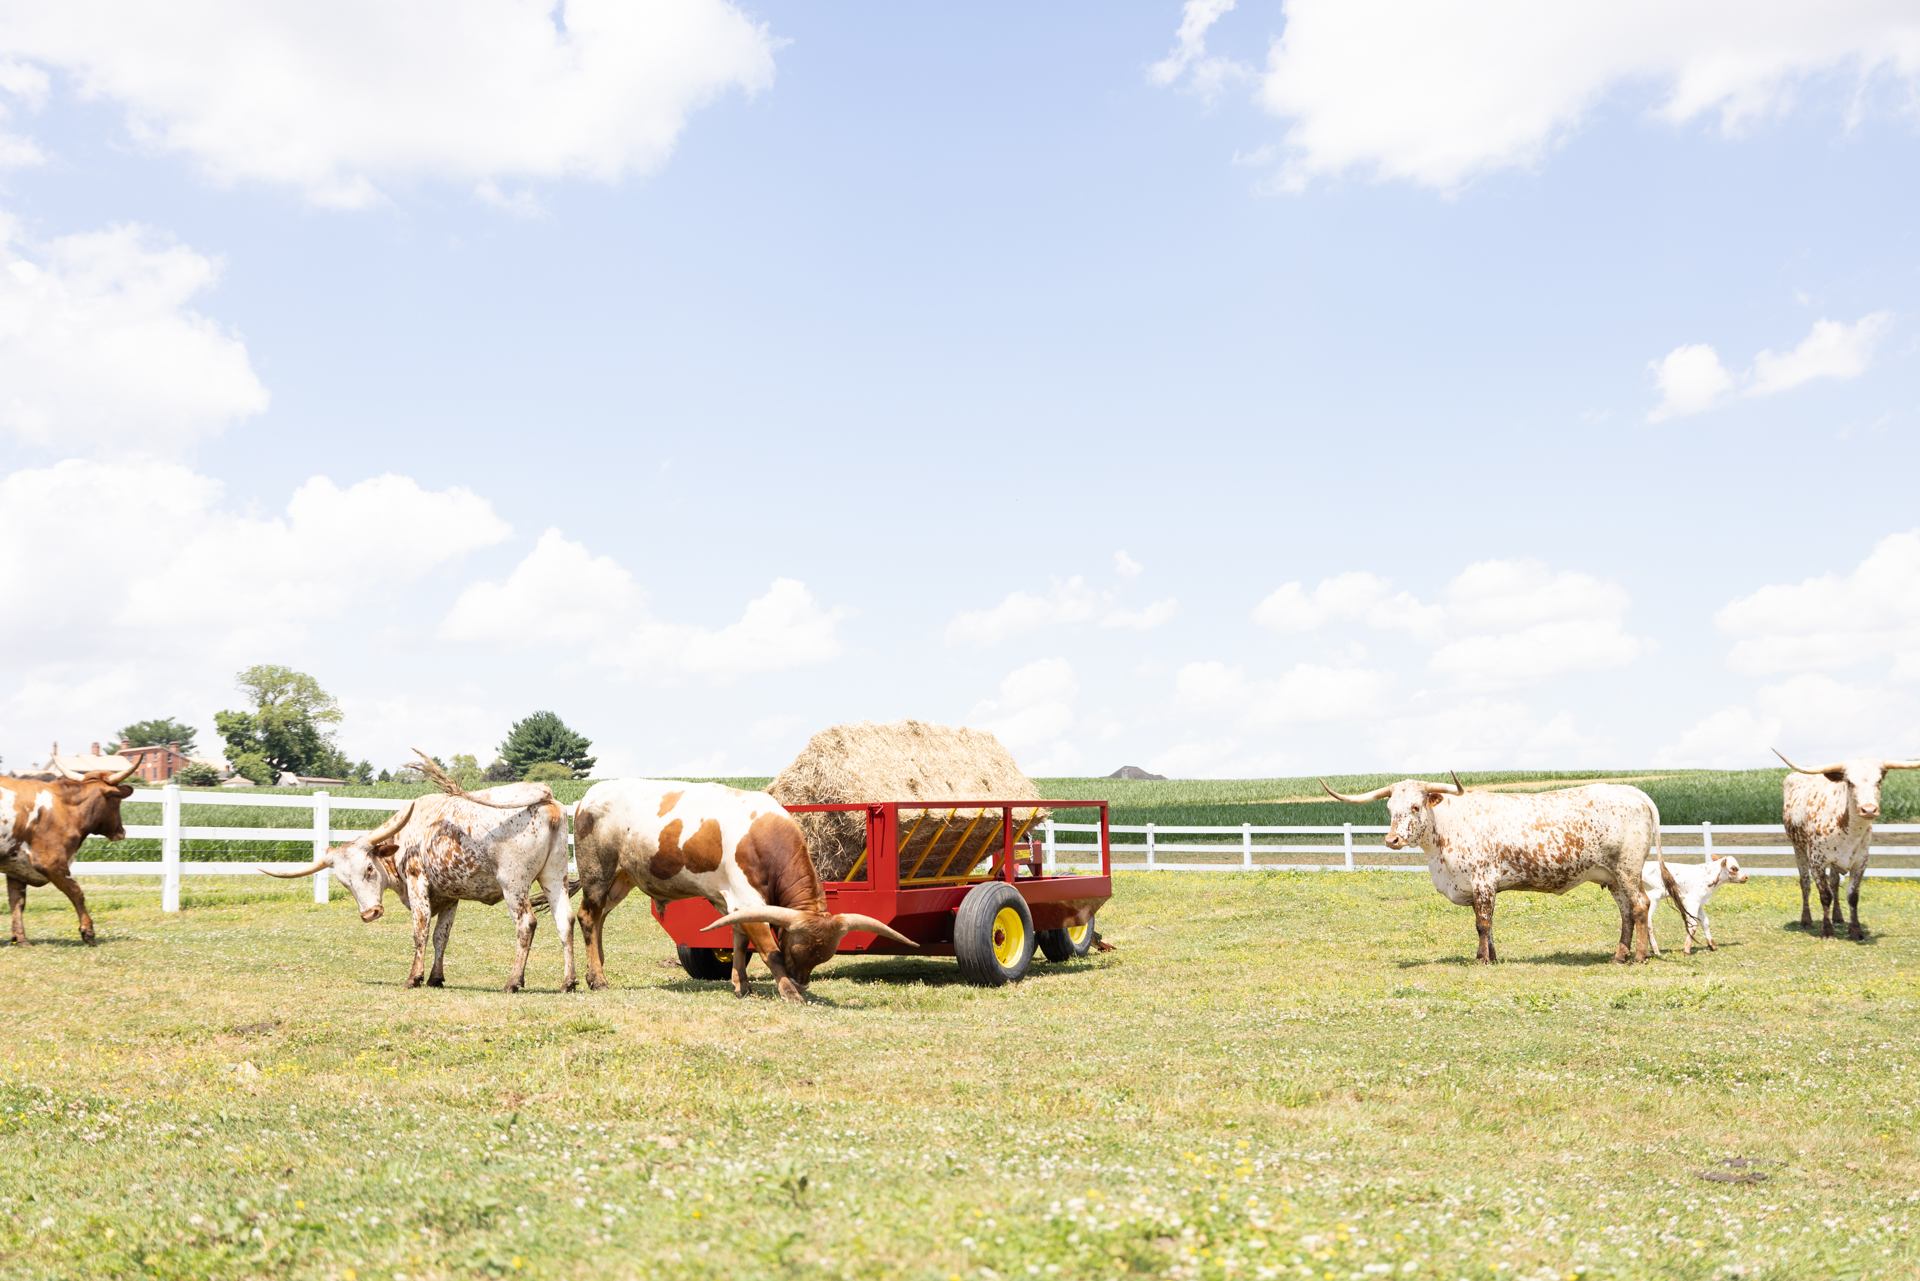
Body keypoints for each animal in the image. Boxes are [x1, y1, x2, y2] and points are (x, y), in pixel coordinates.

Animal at [266, 768, 572, 998]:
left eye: (369, 868)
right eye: (344, 882)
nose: (370, 913)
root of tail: (544, 795)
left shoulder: (417, 882)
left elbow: (420, 930)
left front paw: (414, 977)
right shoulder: (450, 895)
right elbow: (441, 936)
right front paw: (436, 977)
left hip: (513, 882)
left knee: (526, 924)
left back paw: (513, 982)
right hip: (555, 876)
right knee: (565, 920)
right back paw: (569, 982)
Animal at [568, 775, 913, 1006]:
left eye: (821, 958)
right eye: (794, 949)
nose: (801, 984)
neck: (765, 839)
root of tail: (589, 795)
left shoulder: (736, 904)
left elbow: (739, 940)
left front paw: (742, 985)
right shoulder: (747, 900)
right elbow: (768, 951)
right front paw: (788, 992)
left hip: (620, 879)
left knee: (599, 920)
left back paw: (594, 971)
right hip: (597, 872)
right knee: (587, 917)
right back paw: (598, 978)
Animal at [1320, 775, 1681, 967]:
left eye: (1415, 806)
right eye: (1389, 807)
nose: (1392, 839)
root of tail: (1633, 791)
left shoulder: (1482, 880)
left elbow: (1482, 923)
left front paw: (1481, 959)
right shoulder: (1481, 887)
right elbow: (1488, 925)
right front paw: (1492, 956)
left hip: (1627, 868)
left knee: (1640, 906)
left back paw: (1639, 957)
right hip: (1612, 876)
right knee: (1626, 912)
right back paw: (1619, 956)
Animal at [1766, 752, 1920, 941]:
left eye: (1879, 781)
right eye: (1850, 782)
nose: (1869, 809)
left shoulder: (1860, 862)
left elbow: (1852, 896)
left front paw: (1856, 930)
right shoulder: (1817, 862)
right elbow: (1825, 896)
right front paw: (1827, 931)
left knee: (1834, 883)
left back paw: (1838, 917)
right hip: (1799, 849)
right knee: (1805, 884)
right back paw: (1806, 920)